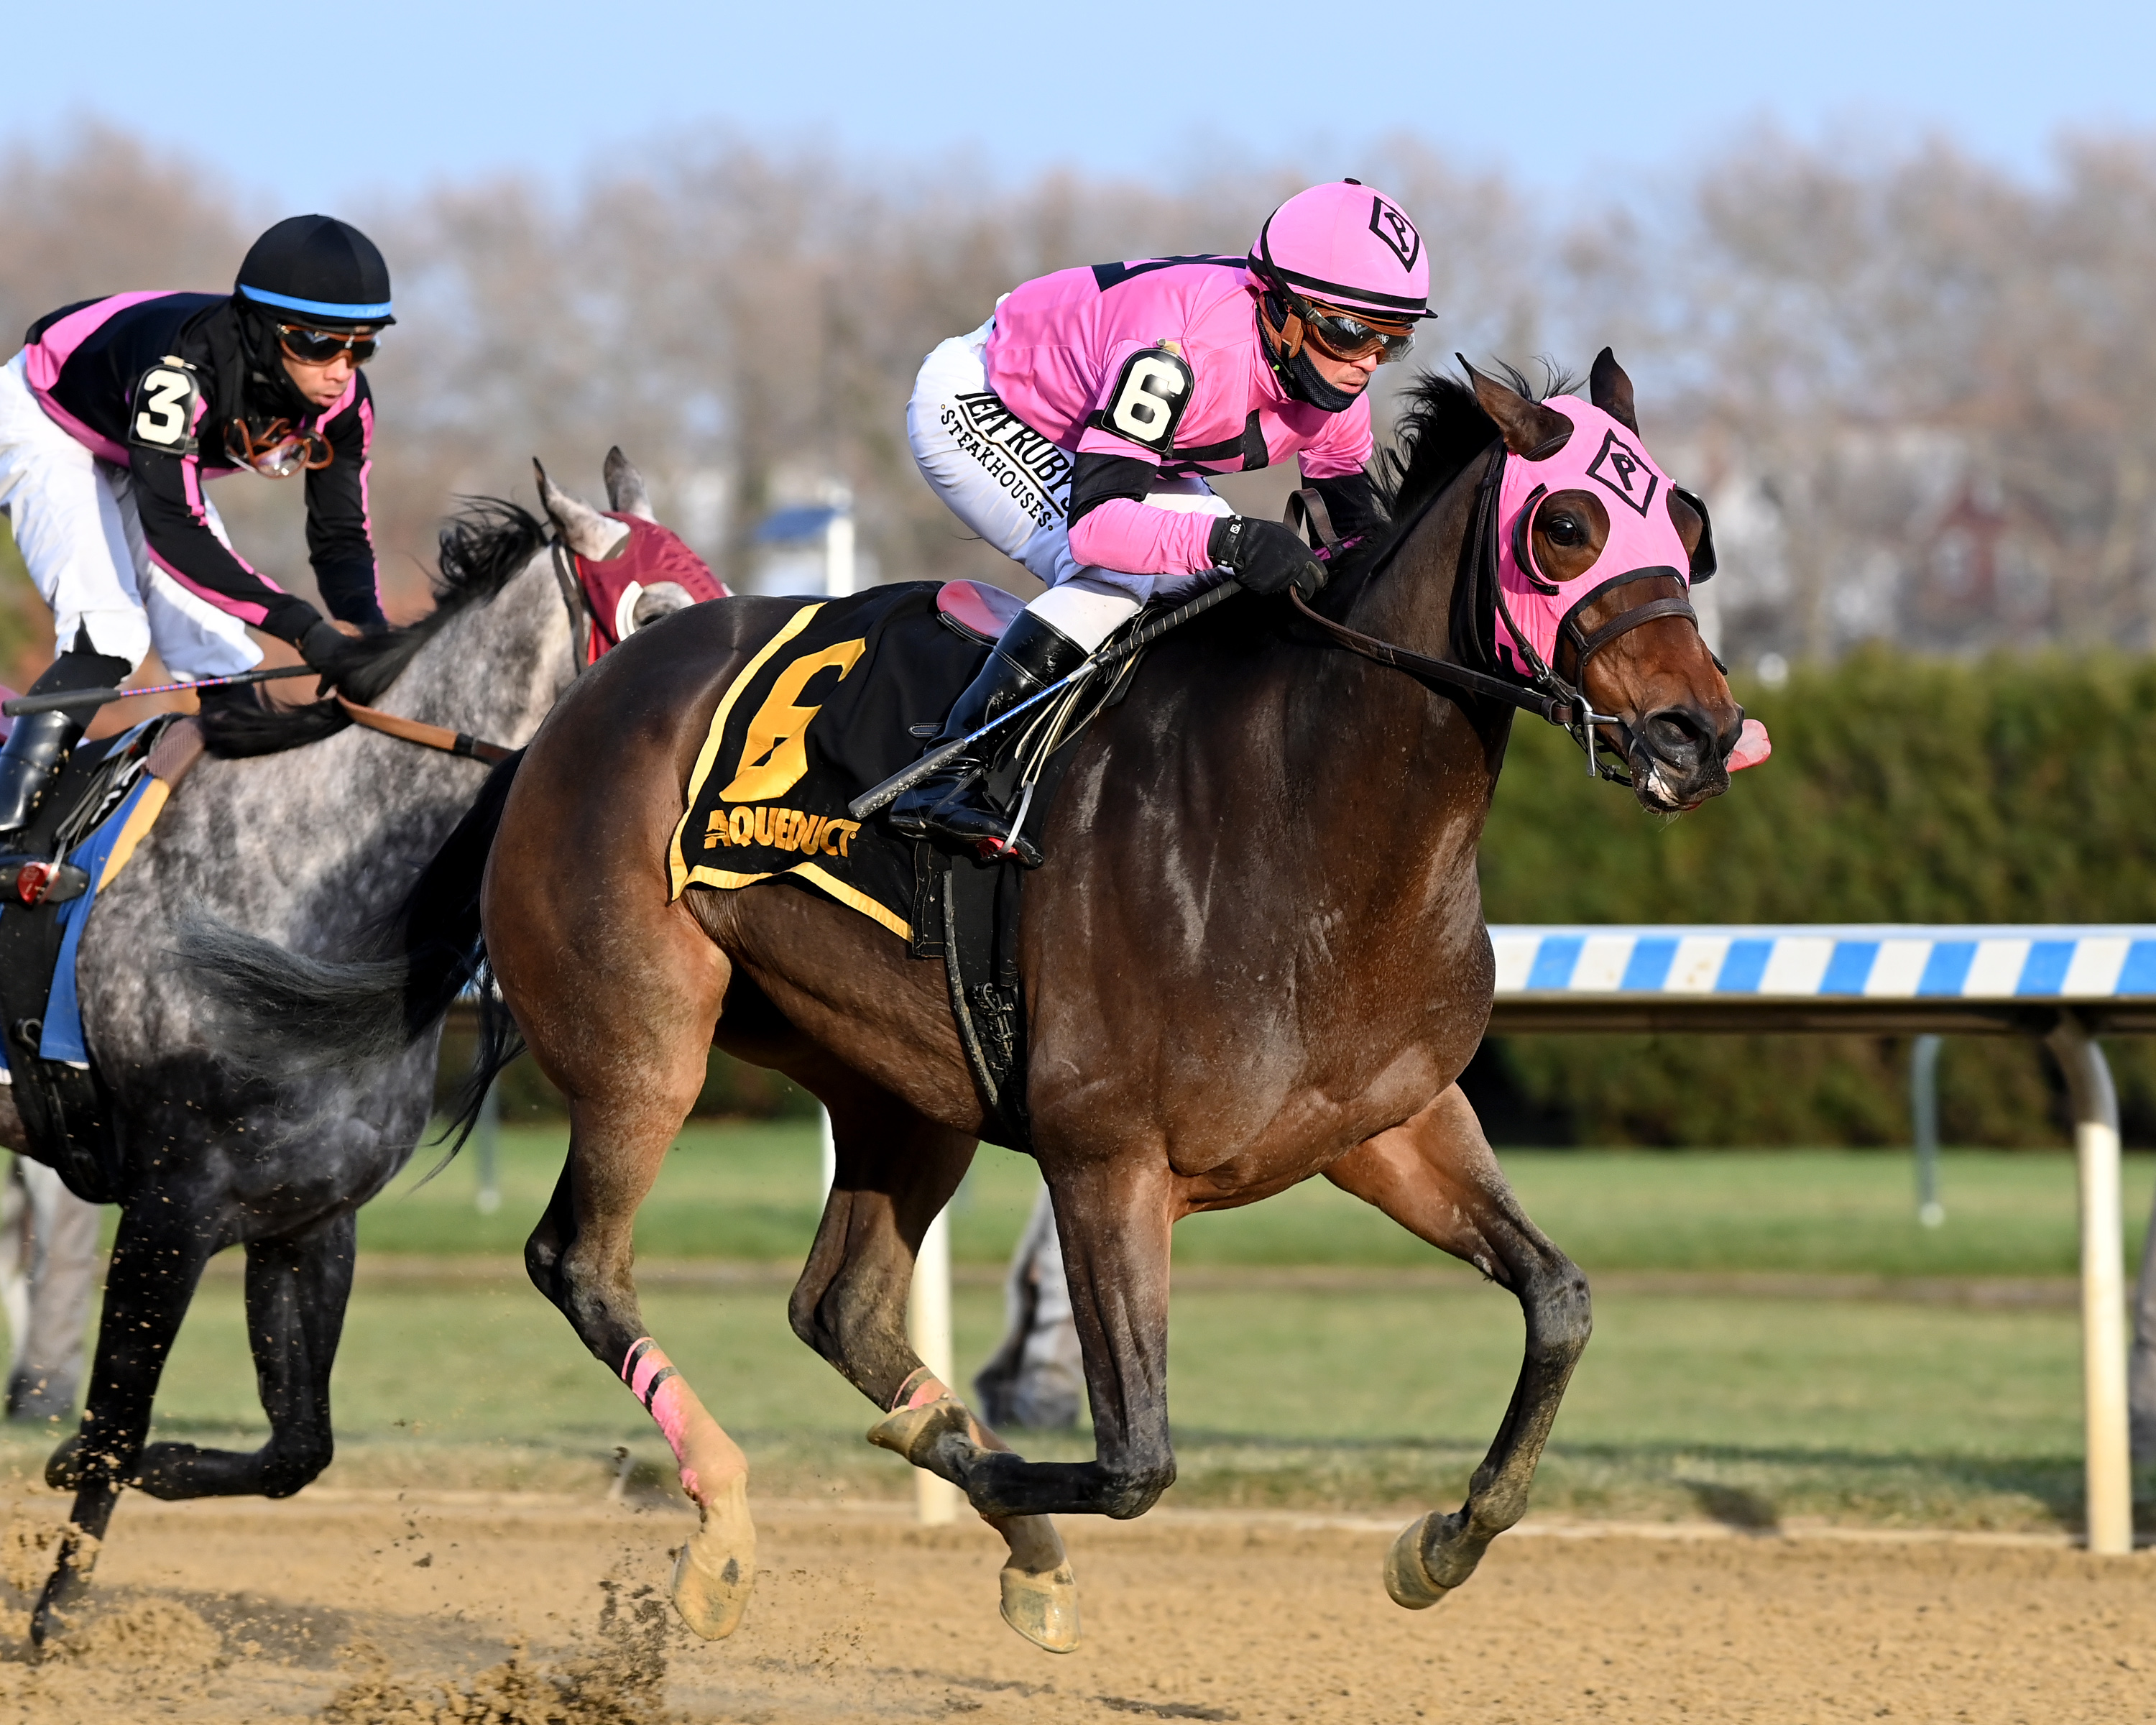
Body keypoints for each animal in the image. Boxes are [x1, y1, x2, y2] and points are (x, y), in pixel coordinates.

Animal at [10, 451, 694, 1645]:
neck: (295, 887)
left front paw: (90, 1468)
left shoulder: (305, 1217)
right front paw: (55, 1614)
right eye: (657, 616)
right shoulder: (171, 1205)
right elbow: (118, 1418)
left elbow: (296, 1449)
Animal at [189, 355, 1743, 1654]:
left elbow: (1560, 1301)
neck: (1309, 812)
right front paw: (972, 1475)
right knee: (582, 1264)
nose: (1701, 731)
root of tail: (561, 725)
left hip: (902, 1091)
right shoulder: (1105, 1157)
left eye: (1690, 520)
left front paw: (1443, 1539)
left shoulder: (1389, 1124)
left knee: (839, 1307)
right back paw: (733, 1527)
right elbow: (1138, 1459)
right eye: (1566, 528)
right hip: (645, 1044)